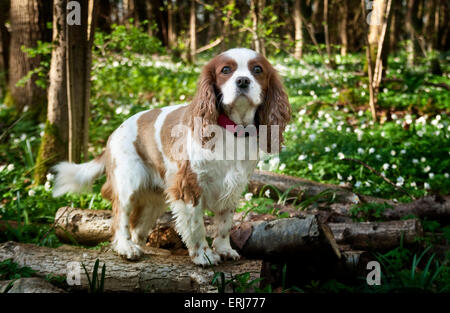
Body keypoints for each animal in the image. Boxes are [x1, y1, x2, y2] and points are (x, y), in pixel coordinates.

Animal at [52, 47, 292, 264]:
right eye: (226, 70)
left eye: (257, 69)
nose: (242, 81)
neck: (232, 129)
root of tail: (112, 135)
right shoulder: (188, 185)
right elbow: (196, 225)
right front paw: (204, 255)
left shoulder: (233, 186)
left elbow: (224, 224)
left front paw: (224, 249)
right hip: (128, 183)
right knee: (120, 218)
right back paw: (125, 247)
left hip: (155, 199)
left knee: (137, 226)